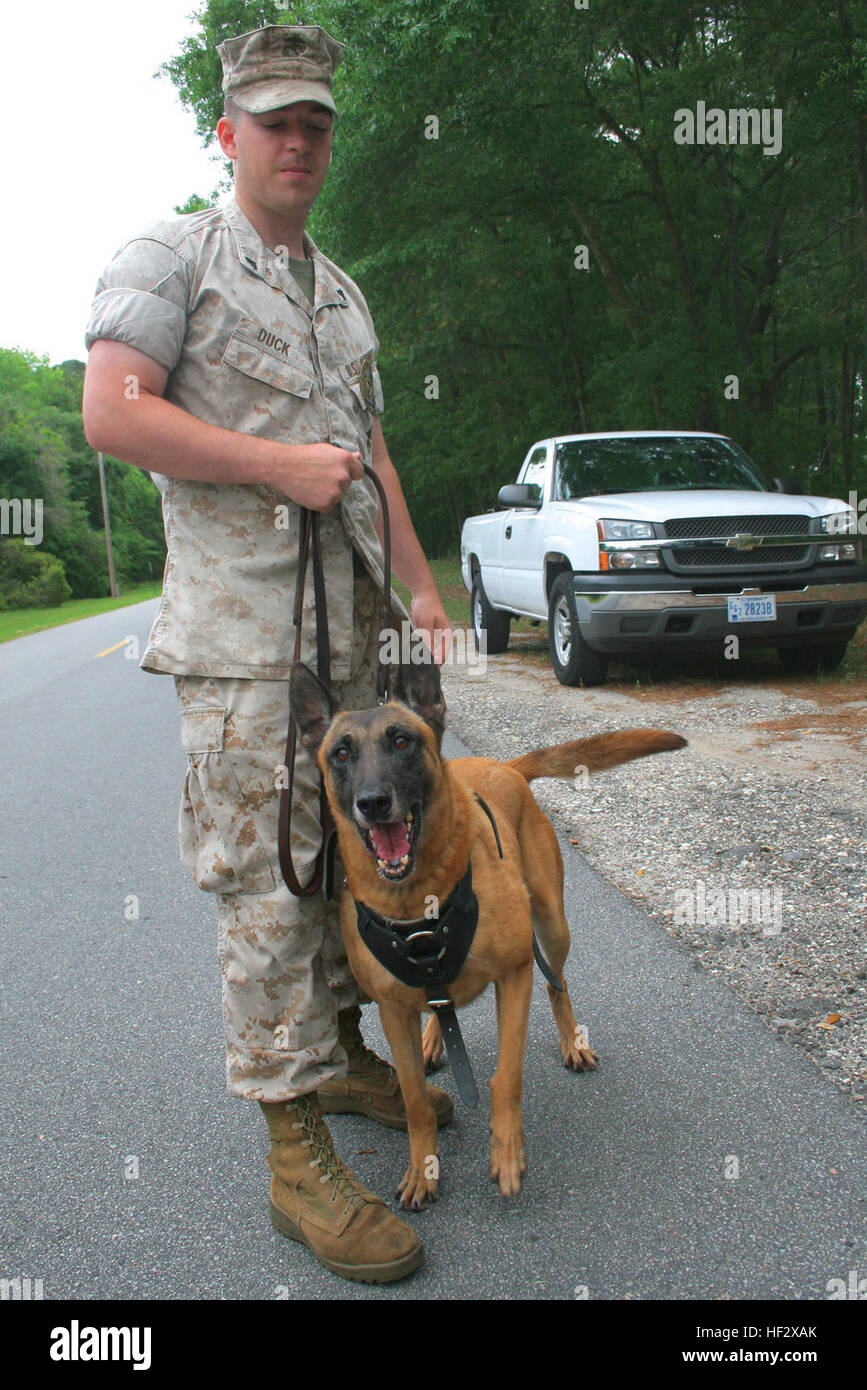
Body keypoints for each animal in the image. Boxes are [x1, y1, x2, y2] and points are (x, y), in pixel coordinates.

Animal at [289, 661, 683, 1206]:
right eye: (341, 753)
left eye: (402, 741)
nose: (373, 802)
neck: (419, 901)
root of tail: (505, 766)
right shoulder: (392, 1010)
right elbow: (414, 1098)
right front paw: (423, 1168)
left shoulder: (514, 976)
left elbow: (507, 1076)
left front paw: (507, 1153)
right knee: (442, 1006)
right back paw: (435, 1039)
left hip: (553, 927)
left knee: (558, 984)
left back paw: (571, 1041)